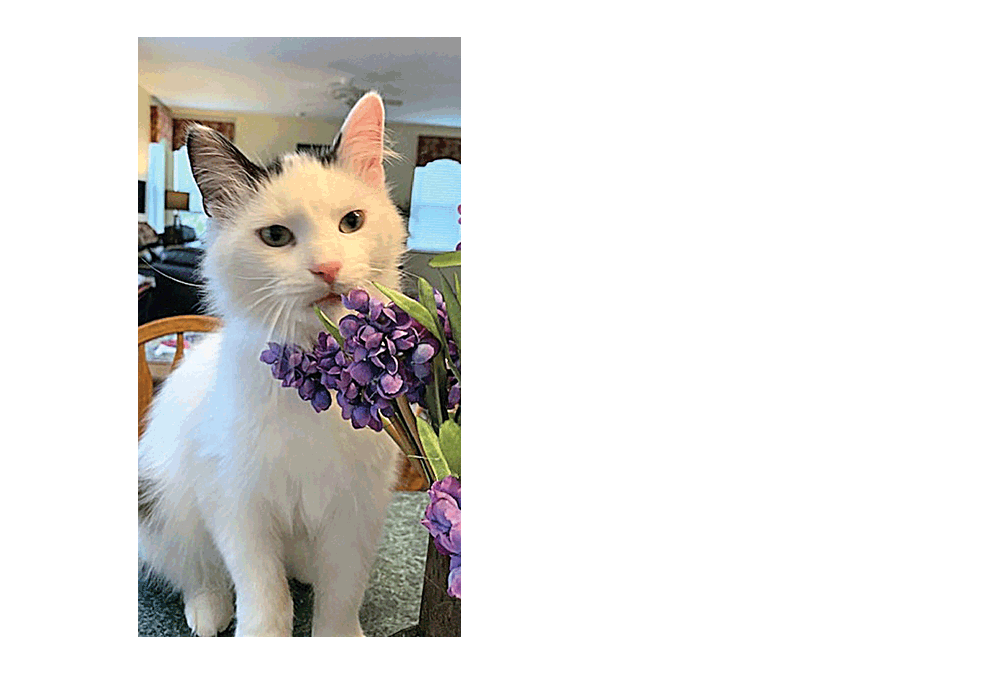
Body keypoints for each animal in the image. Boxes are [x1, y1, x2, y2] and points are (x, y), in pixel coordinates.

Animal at [140, 92, 406, 636]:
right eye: (277, 236)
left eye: (352, 222)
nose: (327, 267)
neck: (319, 376)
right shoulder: (239, 506)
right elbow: (264, 596)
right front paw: (261, 632)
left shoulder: (357, 510)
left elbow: (342, 594)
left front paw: (339, 633)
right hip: (165, 504)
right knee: (194, 568)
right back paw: (209, 608)